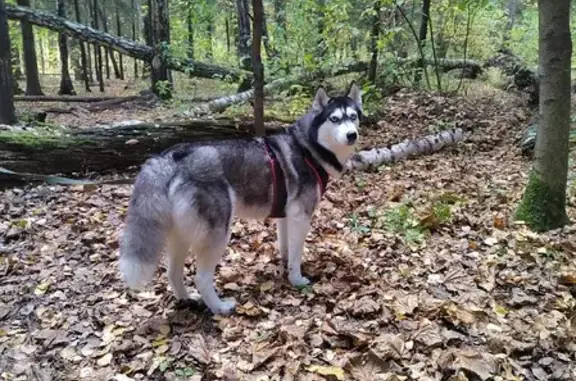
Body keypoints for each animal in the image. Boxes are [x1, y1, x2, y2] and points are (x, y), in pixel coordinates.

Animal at [117, 82, 362, 314]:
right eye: (334, 119)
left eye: (353, 117)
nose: (352, 135)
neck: (308, 148)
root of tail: (169, 157)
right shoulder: (301, 217)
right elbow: (296, 255)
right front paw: (296, 279)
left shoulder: (286, 217)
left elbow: (286, 249)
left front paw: (284, 269)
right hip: (217, 235)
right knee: (201, 278)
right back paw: (219, 307)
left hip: (182, 235)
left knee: (172, 272)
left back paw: (186, 298)